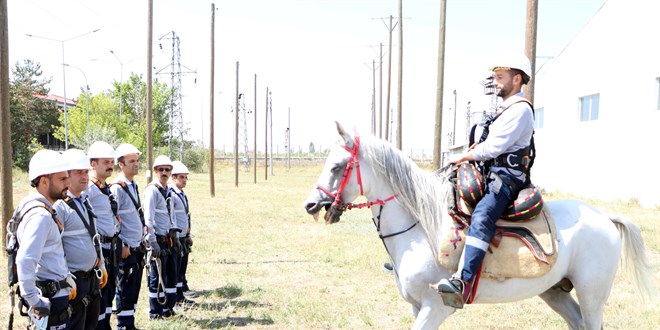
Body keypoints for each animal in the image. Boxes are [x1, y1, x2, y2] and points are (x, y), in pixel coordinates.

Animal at [304, 123, 656, 330]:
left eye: (337, 166)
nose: (311, 205)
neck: (423, 229)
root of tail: (605, 218)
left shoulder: (435, 308)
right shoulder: (417, 307)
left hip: (592, 294)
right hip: (556, 293)